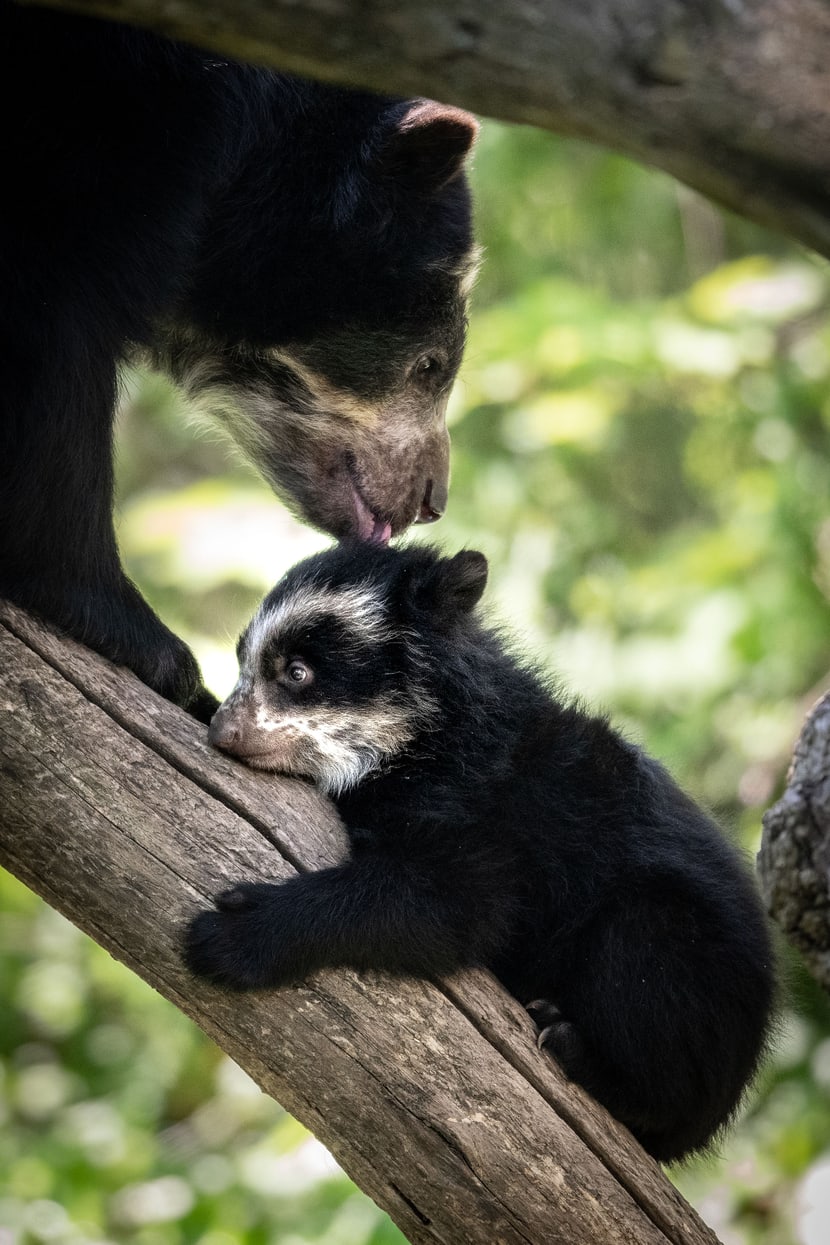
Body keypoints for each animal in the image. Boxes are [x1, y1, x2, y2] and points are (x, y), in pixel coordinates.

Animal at [187, 540, 781, 1160]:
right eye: (242, 662)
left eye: (297, 673)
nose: (222, 732)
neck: (426, 738)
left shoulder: (477, 807)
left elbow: (453, 904)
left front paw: (232, 934)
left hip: (678, 962)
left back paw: (573, 1048)